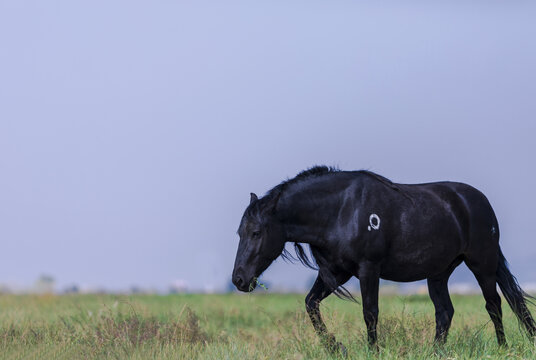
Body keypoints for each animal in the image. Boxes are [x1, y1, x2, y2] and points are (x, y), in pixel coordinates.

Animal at [231, 167, 536, 352]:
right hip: (438, 273)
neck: (340, 211)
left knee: (494, 304)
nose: (239, 279)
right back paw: (436, 352)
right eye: (239, 232)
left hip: (482, 263)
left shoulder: (369, 269)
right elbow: (311, 304)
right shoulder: (336, 272)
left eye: (256, 232)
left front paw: (372, 350)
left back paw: (503, 348)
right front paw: (336, 347)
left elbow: (370, 312)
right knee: (445, 312)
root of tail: (478, 202)